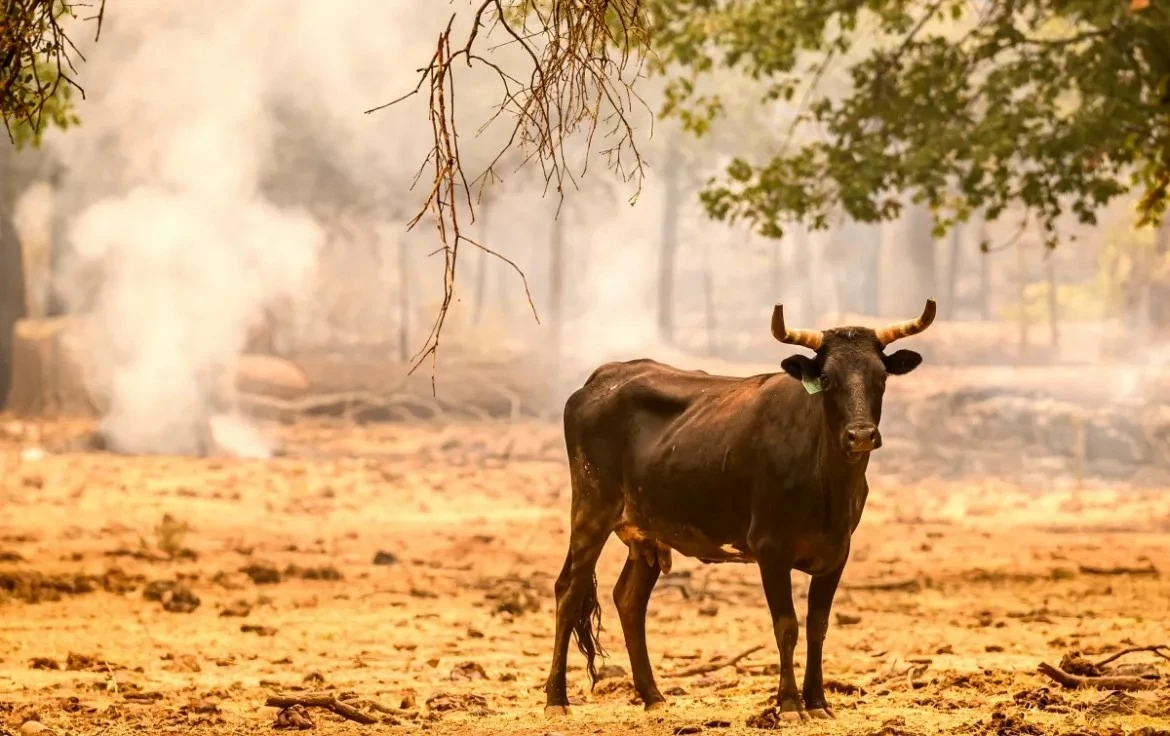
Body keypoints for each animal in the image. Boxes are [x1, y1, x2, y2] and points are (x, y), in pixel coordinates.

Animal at [542, 297, 935, 716]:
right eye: (828, 378)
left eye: (881, 376)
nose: (861, 435)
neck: (826, 481)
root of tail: (603, 376)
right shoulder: (770, 548)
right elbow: (787, 626)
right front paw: (790, 703)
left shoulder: (837, 552)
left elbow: (818, 625)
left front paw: (817, 700)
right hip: (591, 508)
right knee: (568, 590)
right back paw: (557, 699)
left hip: (646, 530)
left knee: (629, 599)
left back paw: (654, 697)